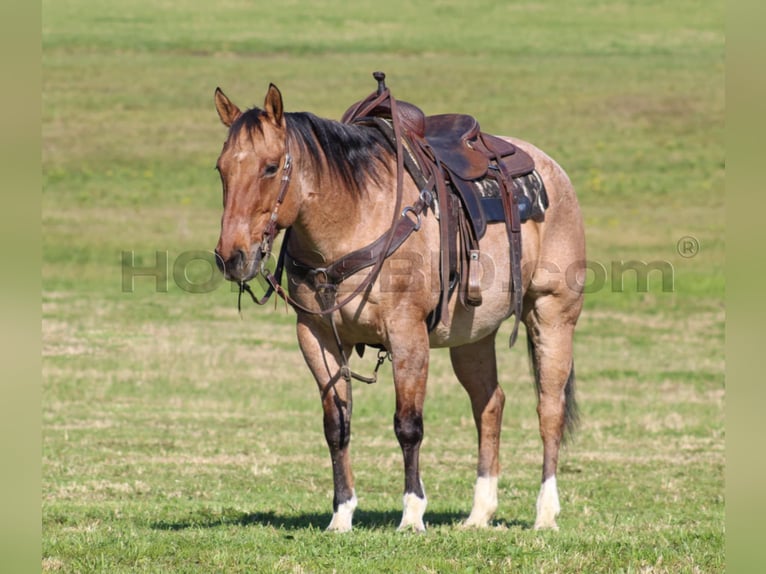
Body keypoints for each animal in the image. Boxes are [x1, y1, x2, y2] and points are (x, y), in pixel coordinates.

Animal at [213, 73, 584, 536]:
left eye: (269, 166)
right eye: (221, 168)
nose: (231, 257)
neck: (351, 218)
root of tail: (552, 170)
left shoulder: (407, 335)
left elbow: (408, 425)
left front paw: (412, 514)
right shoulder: (316, 337)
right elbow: (336, 426)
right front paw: (342, 514)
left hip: (552, 314)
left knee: (549, 409)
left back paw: (546, 513)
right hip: (472, 335)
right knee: (490, 404)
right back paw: (479, 513)